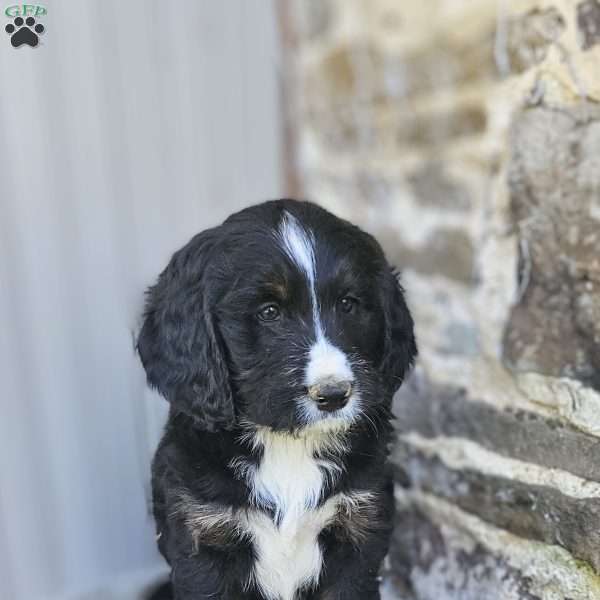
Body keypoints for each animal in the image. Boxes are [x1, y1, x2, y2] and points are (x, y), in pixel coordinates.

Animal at [138, 200, 414, 600]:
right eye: (269, 312)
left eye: (348, 304)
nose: (334, 395)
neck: (288, 444)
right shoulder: (202, 536)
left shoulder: (359, 531)